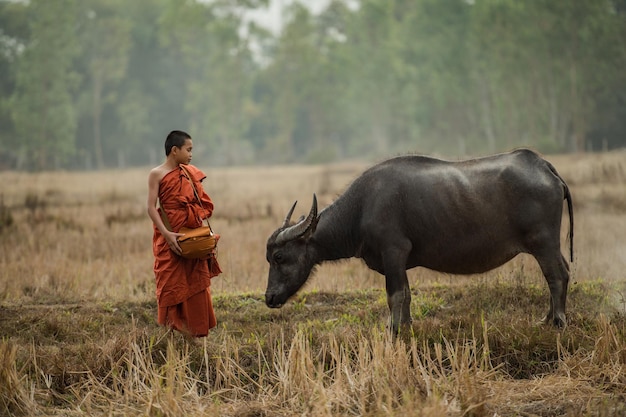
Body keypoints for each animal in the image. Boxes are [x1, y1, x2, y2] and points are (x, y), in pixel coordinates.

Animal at [262, 150, 572, 332]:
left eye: (279, 257)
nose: (269, 298)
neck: (361, 208)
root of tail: (544, 166)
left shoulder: (393, 252)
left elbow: (395, 295)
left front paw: (394, 330)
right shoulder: (399, 262)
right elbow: (408, 295)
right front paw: (407, 327)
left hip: (543, 242)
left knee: (556, 276)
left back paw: (557, 321)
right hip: (548, 245)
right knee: (561, 273)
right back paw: (546, 318)